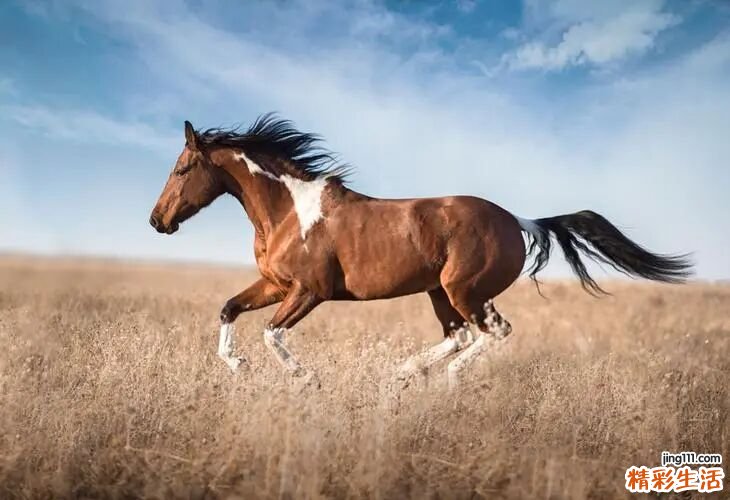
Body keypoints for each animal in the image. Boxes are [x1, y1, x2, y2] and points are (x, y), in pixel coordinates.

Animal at [149, 114, 691, 388]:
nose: (157, 221)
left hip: (463, 290)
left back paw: (445, 379)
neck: (288, 211)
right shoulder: (275, 284)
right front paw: (237, 366)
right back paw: (405, 371)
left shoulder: (309, 290)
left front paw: (305, 378)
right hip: (439, 293)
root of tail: (518, 221)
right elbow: (229, 309)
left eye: (181, 169)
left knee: (491, 333)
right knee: (460, 335)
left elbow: (271, 334)